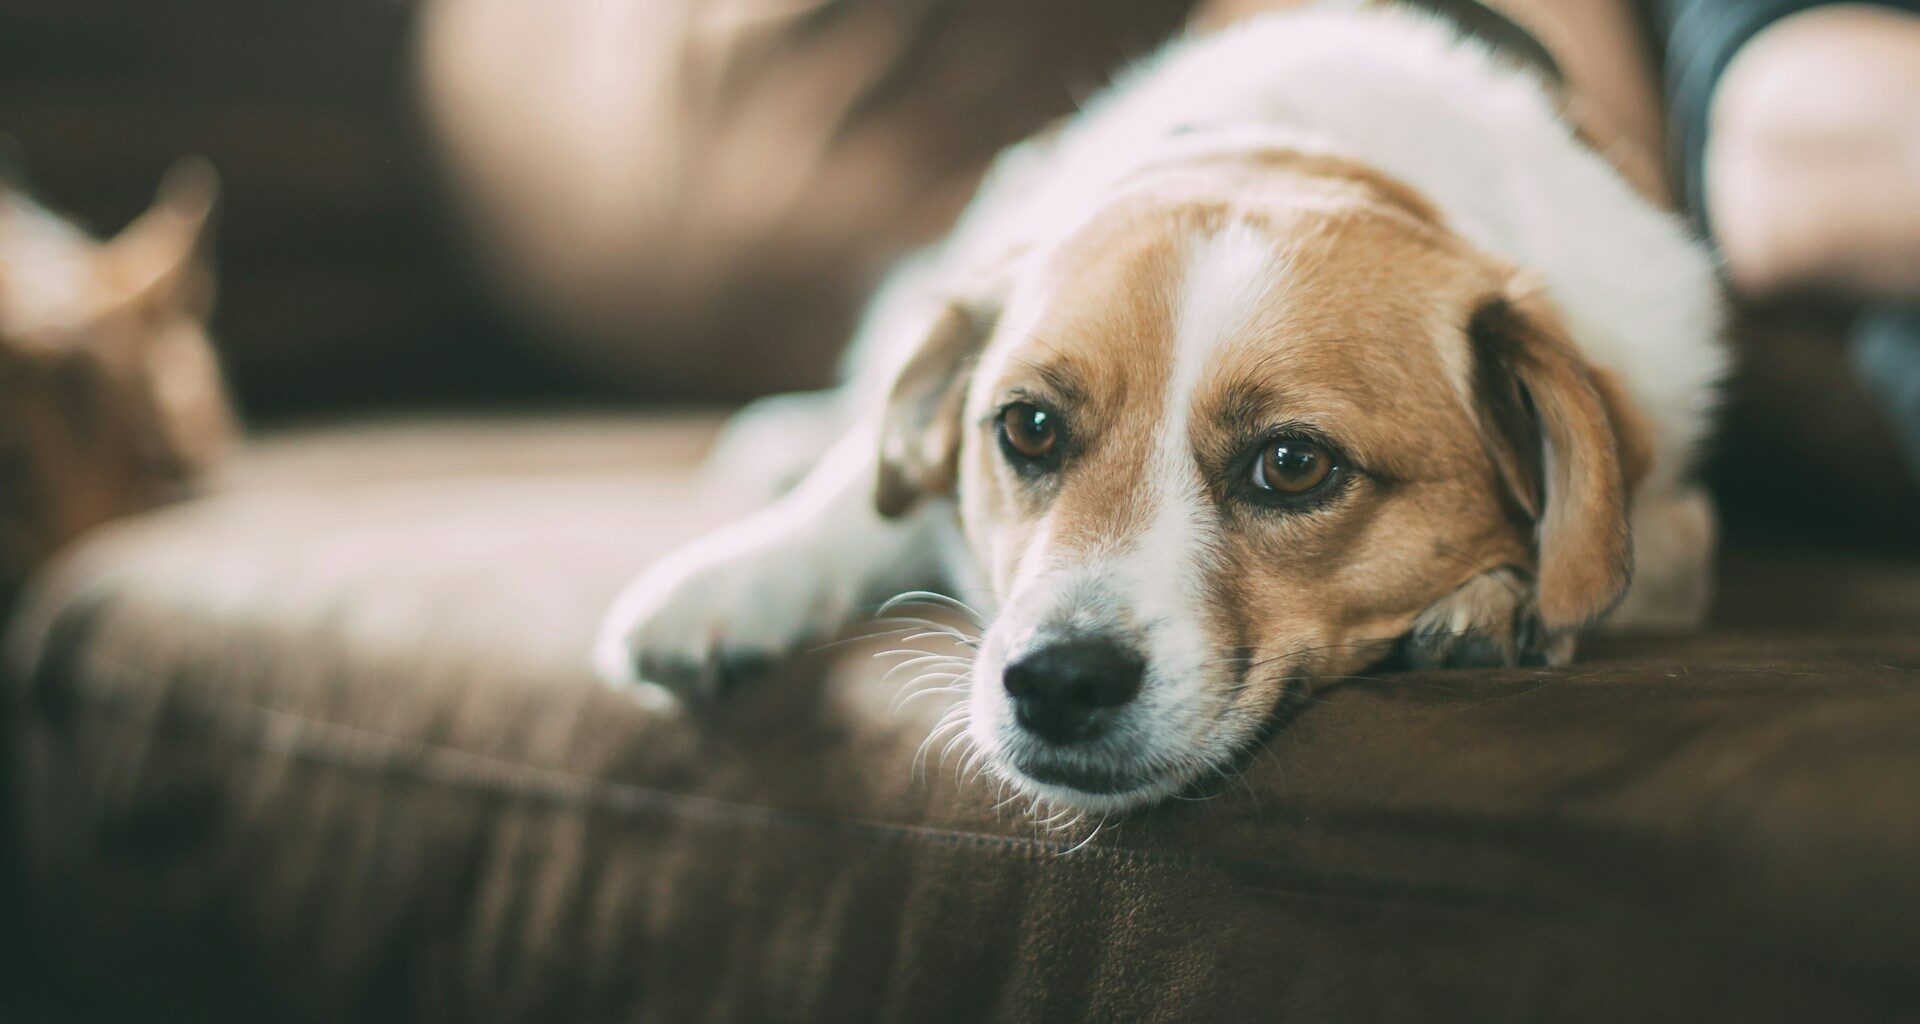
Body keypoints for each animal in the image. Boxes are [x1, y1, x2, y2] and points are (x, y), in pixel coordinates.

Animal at [595, 3, 1728, 810]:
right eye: (1028, 428)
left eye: (1293, 464)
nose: (1057, 682)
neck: (1300, 148)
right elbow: (860, 495)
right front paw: (736, 579)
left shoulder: (1674, 512)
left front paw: (1502, 599)